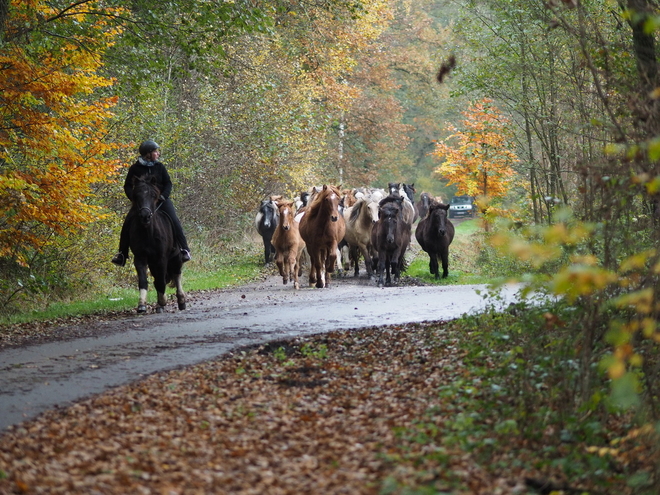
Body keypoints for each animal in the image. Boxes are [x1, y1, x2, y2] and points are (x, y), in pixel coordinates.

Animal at [128, 175, 186, 314]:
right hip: (153, 262)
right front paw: (142, 305)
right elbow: (144, 280)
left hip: (176, 258)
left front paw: (162, 302)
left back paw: (181, 301)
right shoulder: (140, 257)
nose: (145, 216)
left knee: (177, 275)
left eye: (153, 195)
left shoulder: (162, 258)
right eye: (136, 195)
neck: (148, 233)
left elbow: (161, 281)